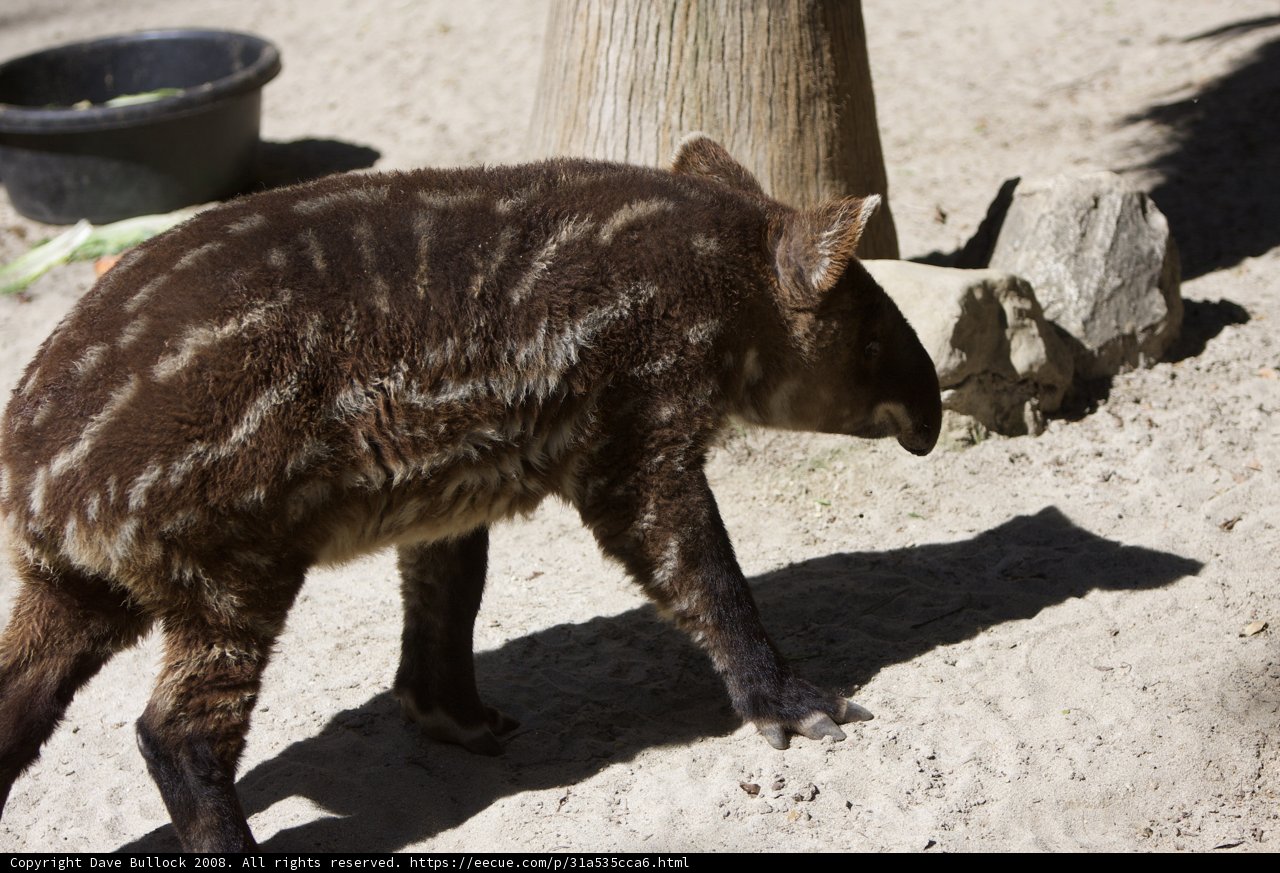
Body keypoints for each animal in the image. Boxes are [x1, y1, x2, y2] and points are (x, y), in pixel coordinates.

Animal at [0, 135, 940, 851]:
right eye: (870, 335)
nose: (932, 413)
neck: (725, 277)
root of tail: (35, 488)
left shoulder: (447, 488)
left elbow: (448, 594)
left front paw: (453, 717)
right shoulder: (639, 425)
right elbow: (702, 571)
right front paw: (798, 706)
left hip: (84, 586)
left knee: (20, 695)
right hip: (231, 559)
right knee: (177, 730)